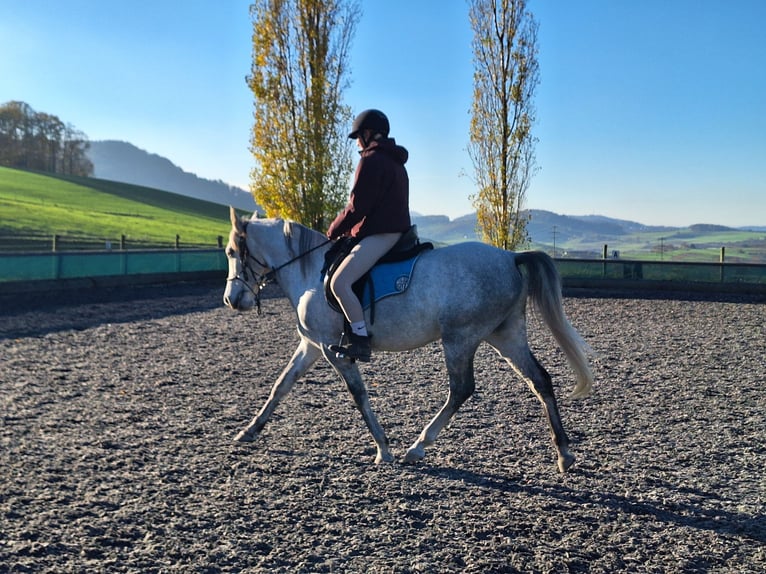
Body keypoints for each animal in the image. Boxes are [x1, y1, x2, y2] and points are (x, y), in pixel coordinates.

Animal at [222, 209, 592, 474]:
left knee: (461, 389)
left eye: (231, 251)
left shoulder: (332, 349)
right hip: (505, 334)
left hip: (460, 338)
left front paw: (383, 449)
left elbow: (358, 395)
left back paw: (418, 446)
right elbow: (281, 386)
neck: (311, 271)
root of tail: (509, 257)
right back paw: (564, 453)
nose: (231, 300)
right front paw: (249, 431)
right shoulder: (312, 345)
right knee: (539, 379)